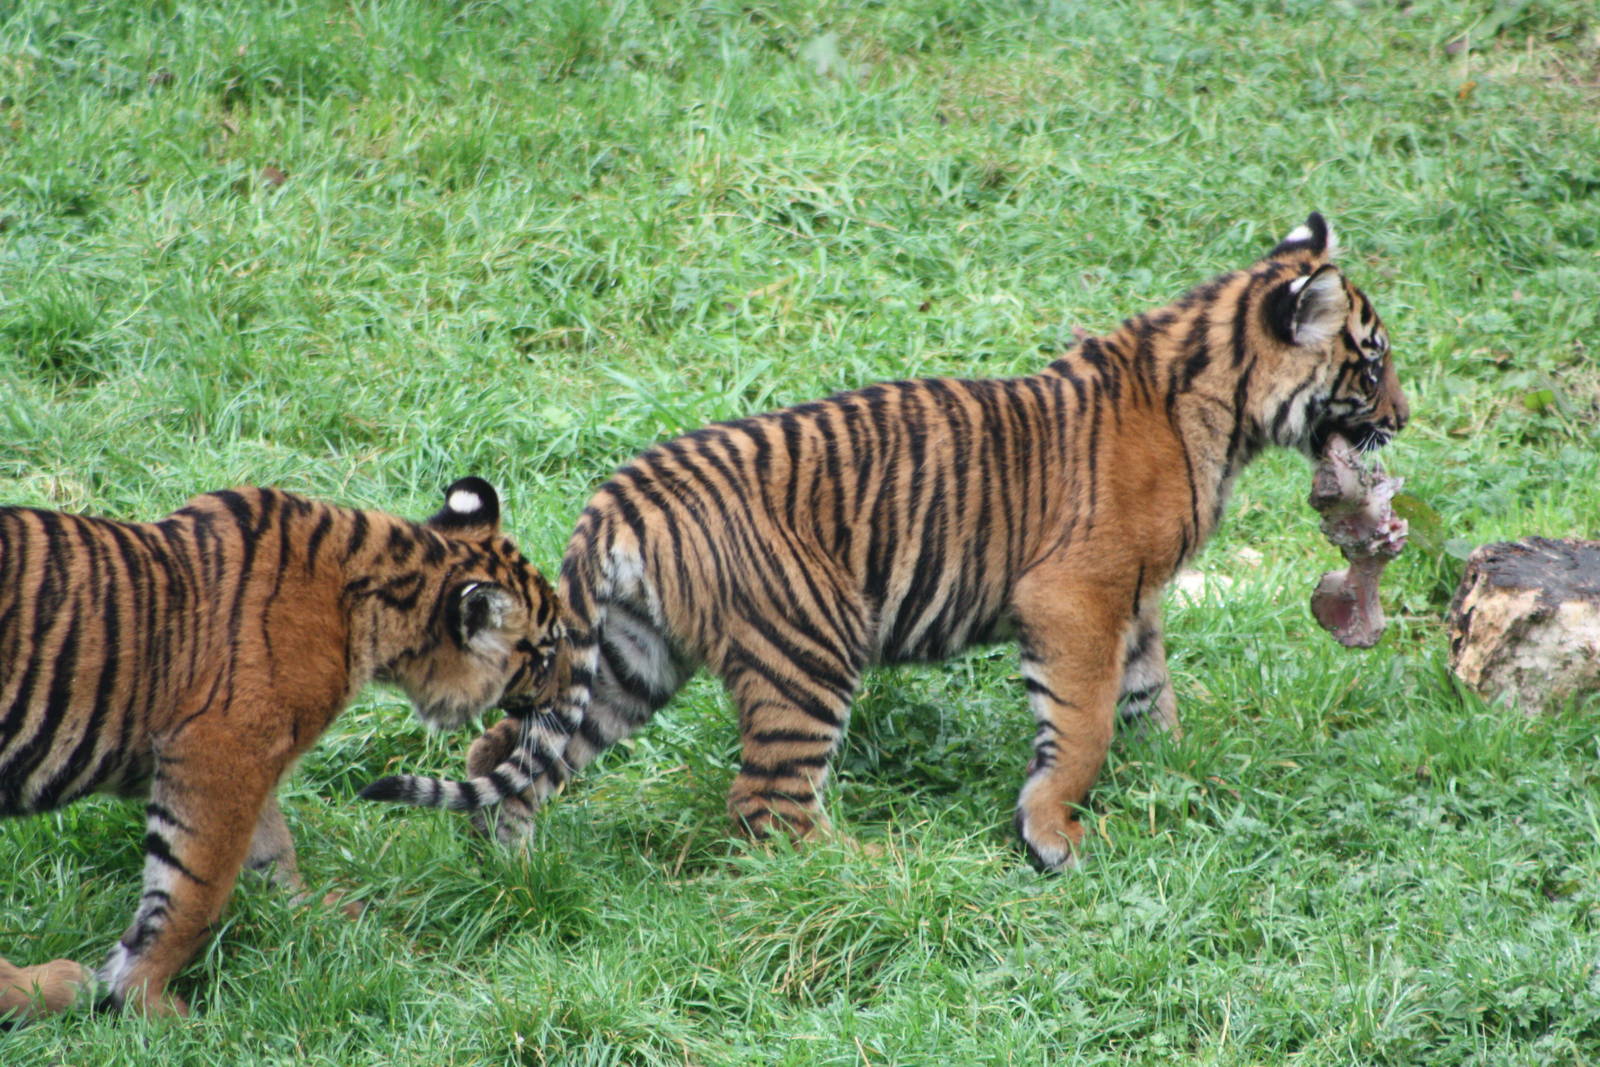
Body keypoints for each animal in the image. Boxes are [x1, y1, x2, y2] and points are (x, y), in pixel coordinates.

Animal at [0, 478, 562, 1019]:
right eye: (548, 653)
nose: (569, 692)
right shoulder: (221, 751)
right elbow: (194, 892)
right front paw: (147, 999)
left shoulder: (250, 760)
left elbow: (271, 848)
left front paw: (311, 913)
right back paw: (55, 987)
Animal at [361, 213, 1407, 872]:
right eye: (1373, 361)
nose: (1403, 417)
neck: (1221, 405)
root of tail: (620, 496)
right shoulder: (1076, 596)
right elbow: (1084, 722)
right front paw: (1055, 832)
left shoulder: (1135, 599)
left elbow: (1150, 697)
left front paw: (1174, 775)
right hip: (809, 647)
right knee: (766, 807)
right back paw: (879, 865)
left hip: (628, 659)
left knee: (509, 746)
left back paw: (513, 867)